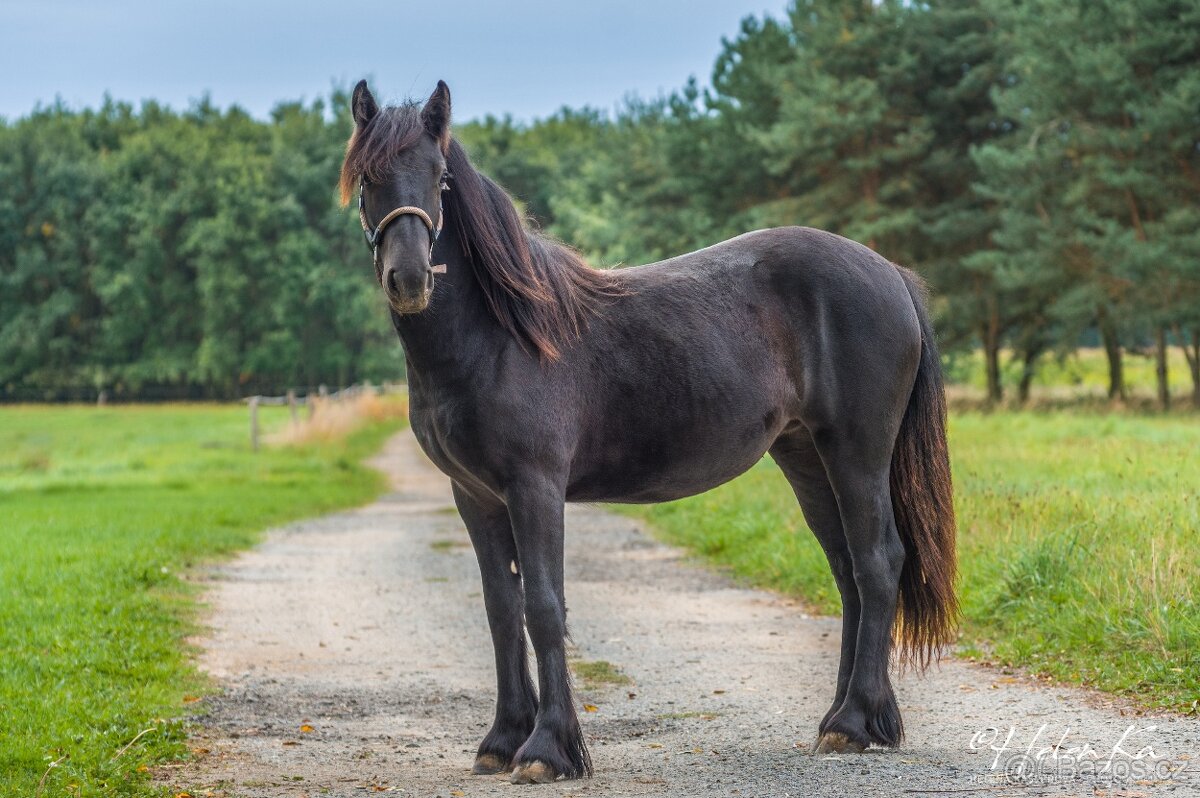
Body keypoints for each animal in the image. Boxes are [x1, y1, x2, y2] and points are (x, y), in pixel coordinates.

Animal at [338, 79, 958, 784]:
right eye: (369, 178)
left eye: (439, 177)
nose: (410, 279)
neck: (500, 335)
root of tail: (892, 276)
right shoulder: (475, 496)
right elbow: (501, 610)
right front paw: (501, 739)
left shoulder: (534, 488)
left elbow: (543, 607)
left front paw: (547, 749)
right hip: (807, 457)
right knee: (849, 571)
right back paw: (844, 719)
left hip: (858, 451)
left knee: (878, 563)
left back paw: (856, 723)